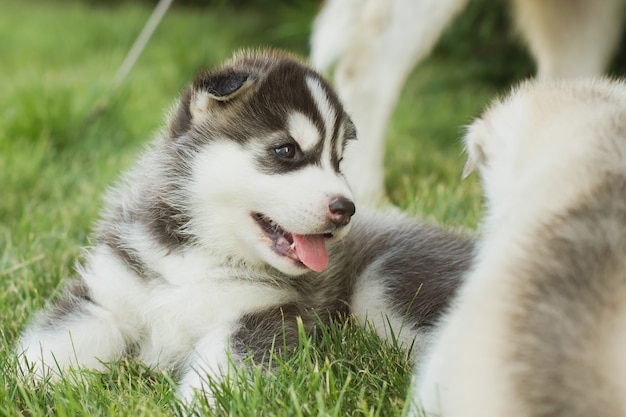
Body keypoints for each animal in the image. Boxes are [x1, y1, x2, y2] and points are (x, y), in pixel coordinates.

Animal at [15, 48, 472, 404]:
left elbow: (216, 381)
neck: (200, 256)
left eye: (339, 161)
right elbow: (44, 351)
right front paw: (25, 386)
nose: (347, 208)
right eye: (286, 151)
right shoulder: (105, 296)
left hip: (384, 285)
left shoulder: (257, 318)